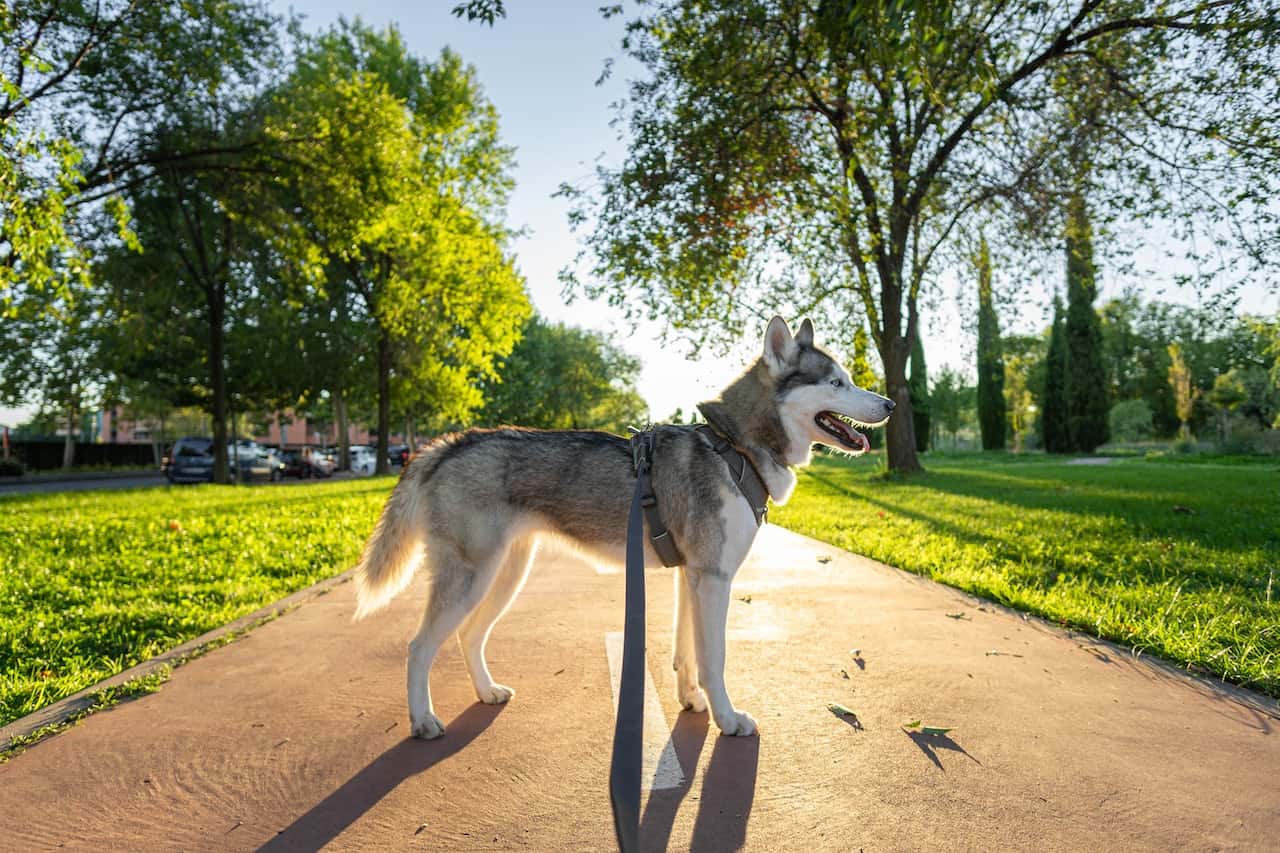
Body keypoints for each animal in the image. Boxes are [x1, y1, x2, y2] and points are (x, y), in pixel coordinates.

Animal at [350, 315, 890, 732]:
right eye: (837, 383)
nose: (888, 404)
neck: (733, 448)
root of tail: (448, 444)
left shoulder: (691, 577)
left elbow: (685, 652)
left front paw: (692, 701)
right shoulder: (715, 578)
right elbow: (713, 658)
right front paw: (728, 720)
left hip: (505, 574)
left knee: (468, 636)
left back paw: (486, 692)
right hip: (471, 577)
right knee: (419, 647)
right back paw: (423, 720)